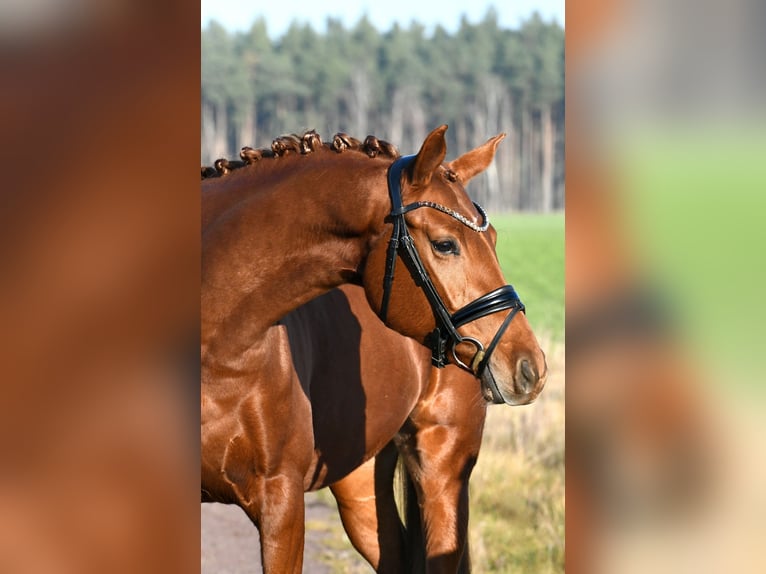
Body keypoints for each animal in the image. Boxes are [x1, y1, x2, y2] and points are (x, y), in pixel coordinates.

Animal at [201, 125, 547, 572]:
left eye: (493, 238)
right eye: (445, 244)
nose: (530, 366)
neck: (218, 349)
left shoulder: (281, 501)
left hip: (442, 467)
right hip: (360, 480)